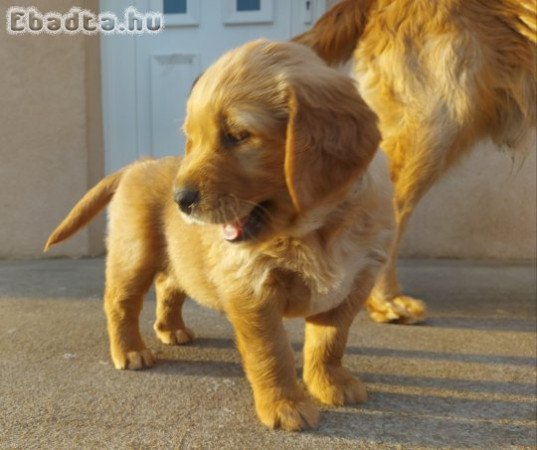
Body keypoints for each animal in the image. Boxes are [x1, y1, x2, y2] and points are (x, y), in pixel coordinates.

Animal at [46, 40, 392, 430]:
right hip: (133, 254)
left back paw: (171, 330)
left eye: (238, 136)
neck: (315, 229)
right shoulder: (251, 288)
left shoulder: (357, 280)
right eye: (192, 140)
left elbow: (331, 339)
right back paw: (131, 351)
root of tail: (139, 163)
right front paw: (285, 405)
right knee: (120, 302)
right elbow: (272, 352)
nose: (179, 199)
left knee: (169, 286)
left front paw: (329, 382)